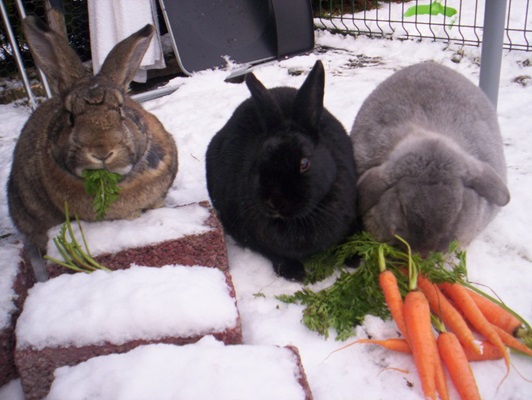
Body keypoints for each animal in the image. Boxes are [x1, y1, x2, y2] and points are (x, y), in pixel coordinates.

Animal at [206, 60, 359, 281]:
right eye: (261, 160)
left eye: (304, 163)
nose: (274, 202)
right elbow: (274, 254)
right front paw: (293, 272)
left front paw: (355, 257)